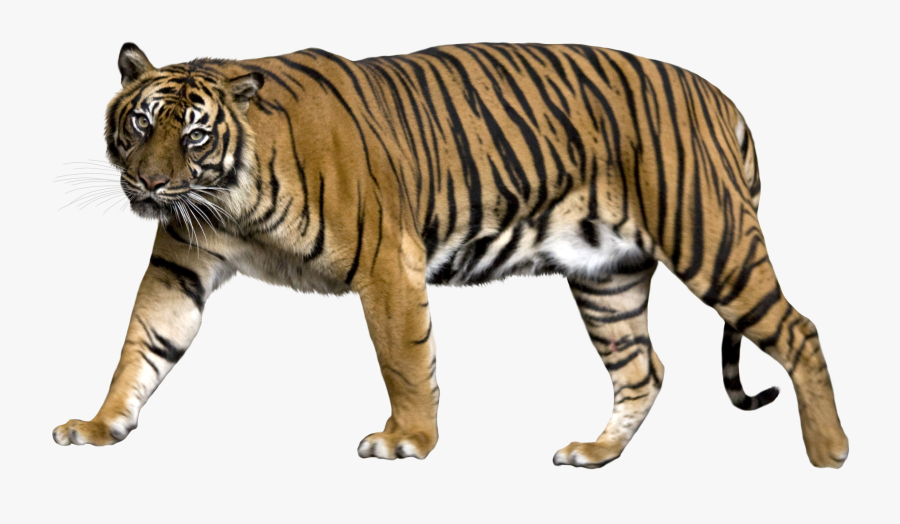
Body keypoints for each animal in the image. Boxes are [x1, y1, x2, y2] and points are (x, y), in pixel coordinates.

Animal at [52, 42, 849, 469]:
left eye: (193, 135)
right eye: (139, 124)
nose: (150, 184)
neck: (229, 199)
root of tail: (719, 97)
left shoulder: (387, 262)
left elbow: (404, 358)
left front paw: (408, 439)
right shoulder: (179, 266)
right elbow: (141, 346)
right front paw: (100, 425)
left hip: (711, 240)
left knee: (799, 329)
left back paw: (830, 451)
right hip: (608, 278)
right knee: (642, 369)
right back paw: (594, 455)